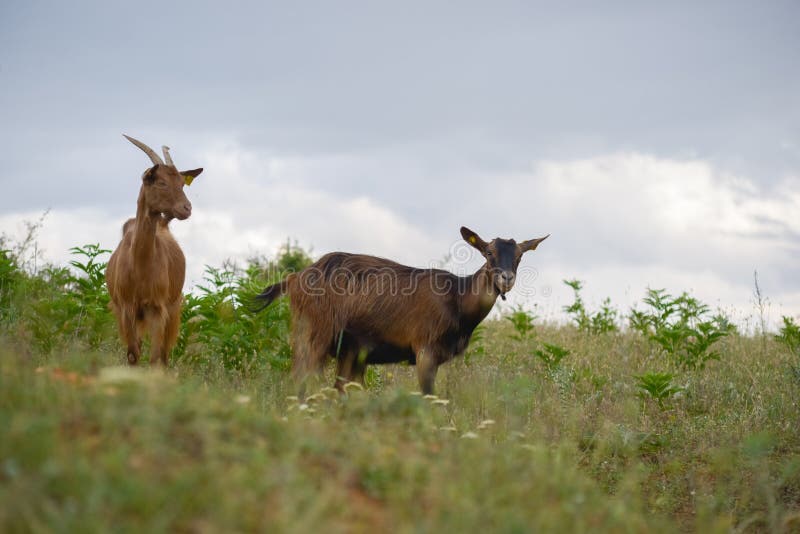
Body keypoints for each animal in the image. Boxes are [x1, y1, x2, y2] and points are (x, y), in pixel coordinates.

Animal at [106, 135, 203, 365]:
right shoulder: (127, 310)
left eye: (181, 183)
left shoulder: (158, 309)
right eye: (161, 182)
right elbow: (133, 354)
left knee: (165, 355)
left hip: (173, 308)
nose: (186, 208)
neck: (139, 265)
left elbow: (156, 357)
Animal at [253, 227, 548, 394]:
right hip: (314, 331)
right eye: (488, 252)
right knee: (301, 377)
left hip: (349, 348)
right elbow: (429, 397)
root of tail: (292, 280)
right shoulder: (424, 348)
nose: (506, 278)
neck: (458, 301)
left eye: (520, 255)